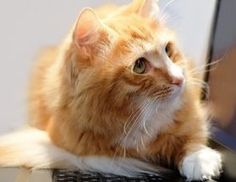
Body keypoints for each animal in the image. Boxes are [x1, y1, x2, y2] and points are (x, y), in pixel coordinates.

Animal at [0, 0, 221, 181]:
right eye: (139, 66)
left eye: (167, 50)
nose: (179, 79)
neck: (139, 117)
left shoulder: (191, 113)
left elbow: (191, 137)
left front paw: (200, 160)